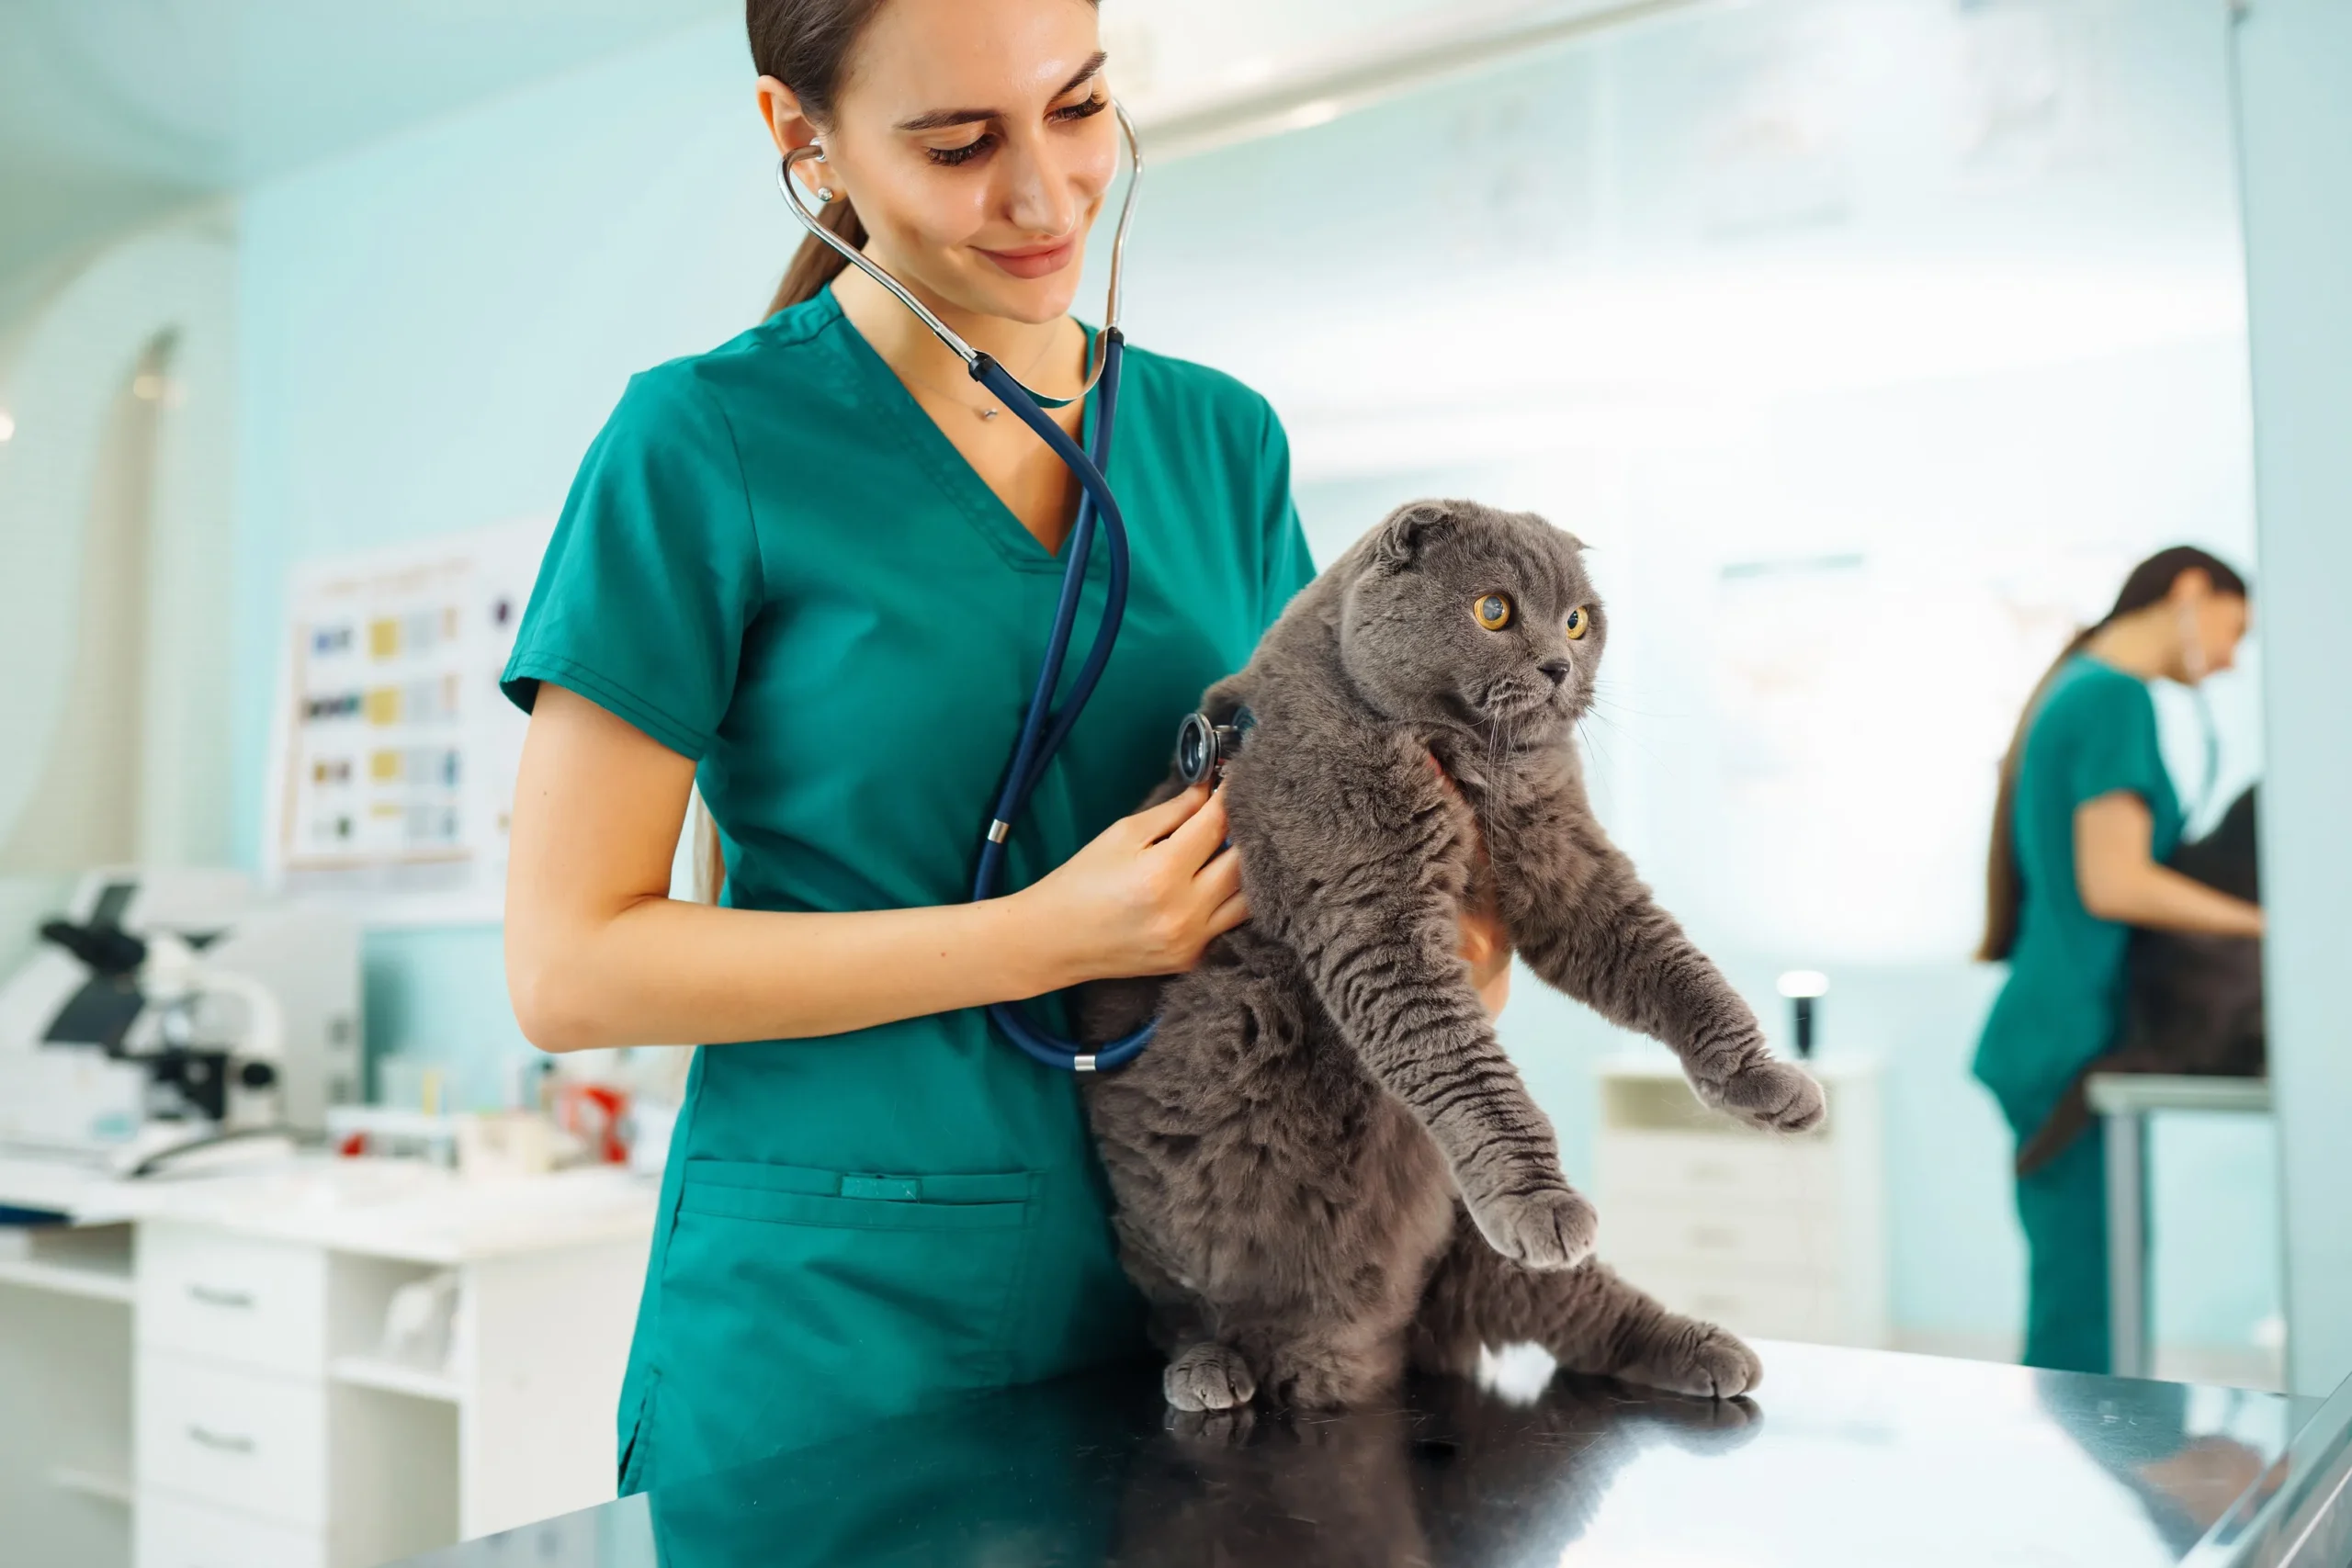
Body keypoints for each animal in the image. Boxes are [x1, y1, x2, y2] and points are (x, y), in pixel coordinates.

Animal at [1077, 495, 1825, 1419]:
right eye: (1493, 610)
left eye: (1578, 620)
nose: (1556, 665)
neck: (1469, 767)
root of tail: (1354, 1346)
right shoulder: (1374, 910)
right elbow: (1467, 1067)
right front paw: (1540, 1197)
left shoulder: (1569, 864)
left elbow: (1674, 964)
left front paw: (1766, 1079)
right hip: (1161, 1233)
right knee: (1179, 1313)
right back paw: (1211, 1369)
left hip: (1472, 1247)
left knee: (1586, 1307)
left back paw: (1706, 1347)